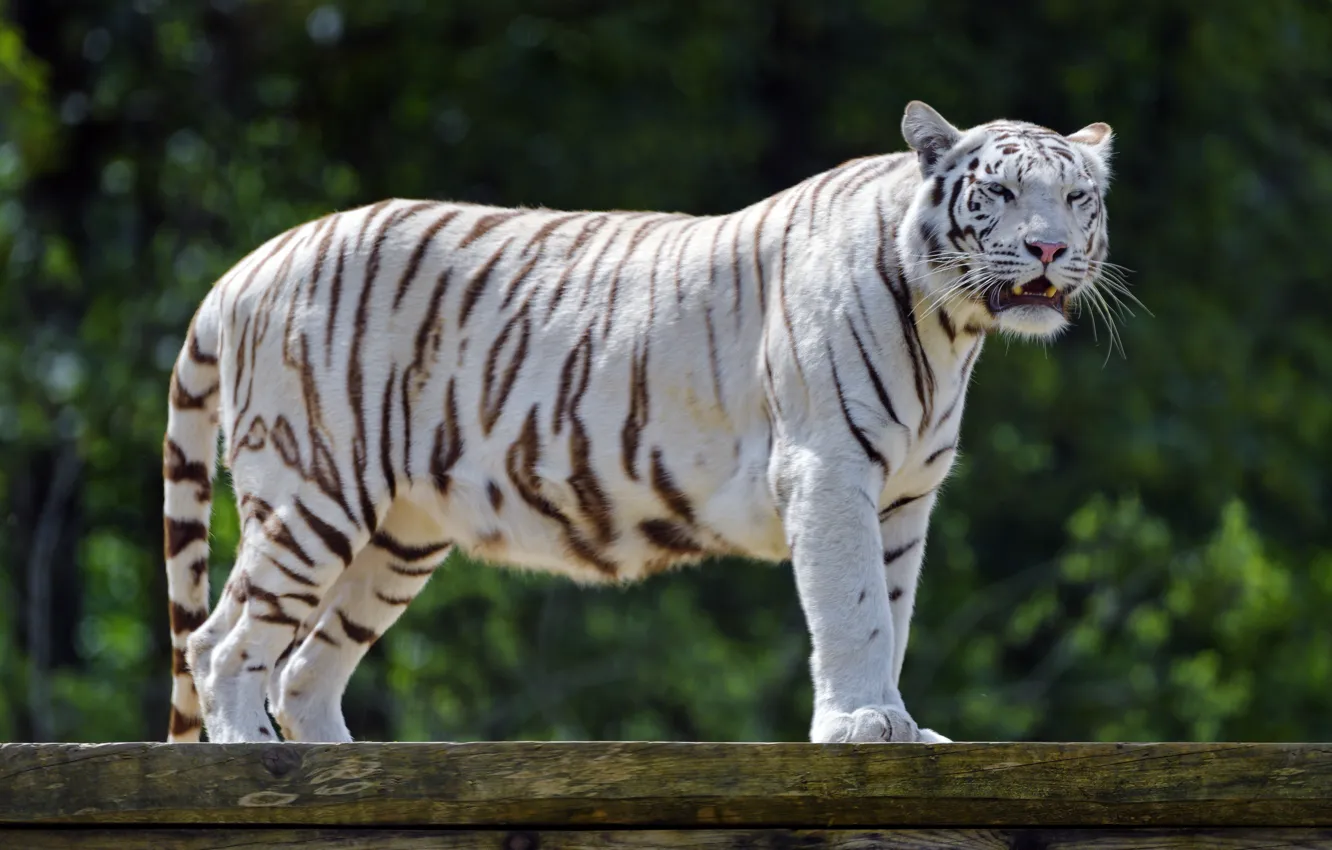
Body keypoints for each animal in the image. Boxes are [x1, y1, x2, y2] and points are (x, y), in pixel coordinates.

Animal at [162, 101, 1114, 745]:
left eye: (1076, 198)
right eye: (998, 193)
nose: (1049, 249)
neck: (949, 328)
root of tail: (249, 264)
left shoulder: (905, 495)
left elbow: (893, 607)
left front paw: (898, 726)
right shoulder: (830, 469)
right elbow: (853, 609)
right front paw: (862, 724)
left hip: (400, 532)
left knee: (303, 669)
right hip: (316, 490)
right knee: (221, 645)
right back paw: (255, 766)